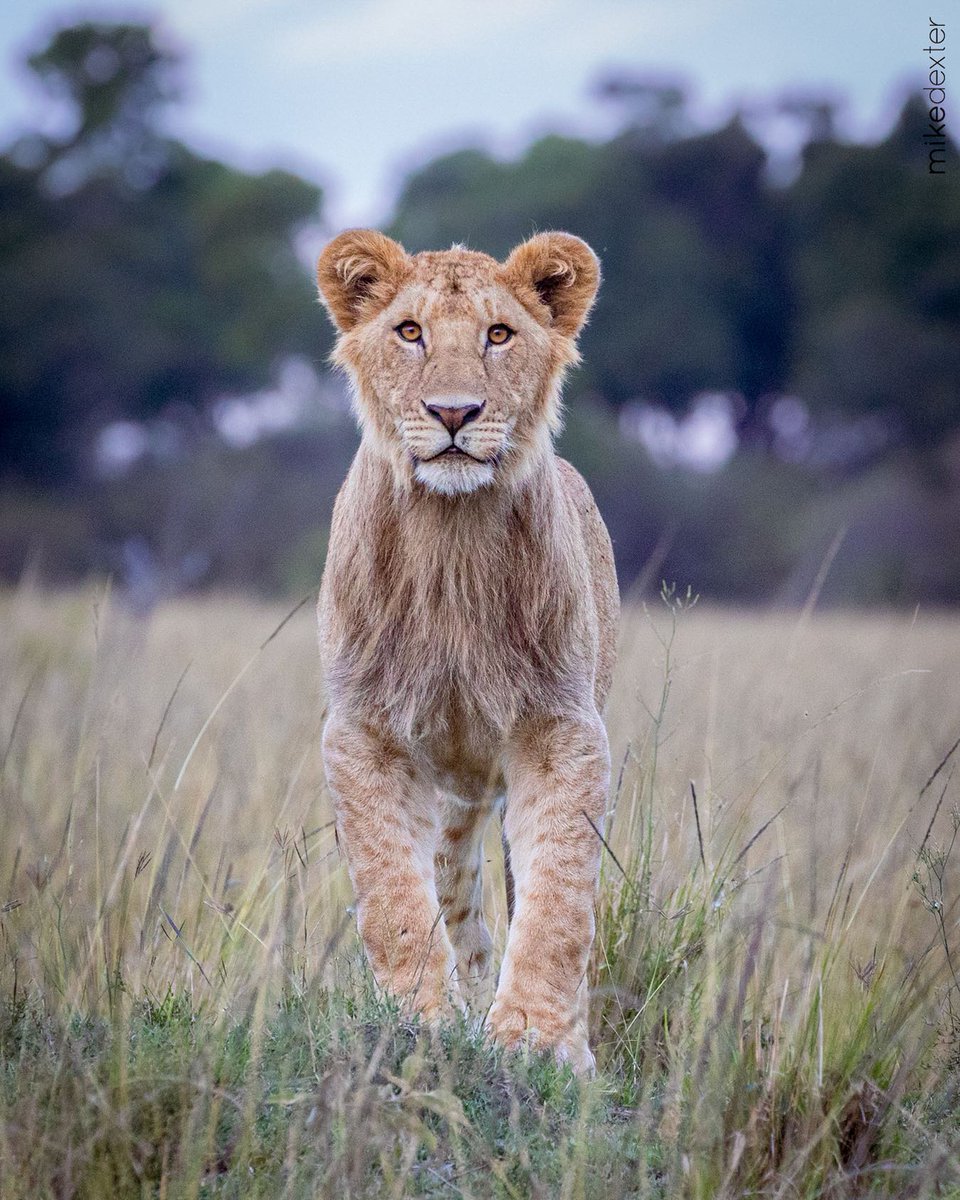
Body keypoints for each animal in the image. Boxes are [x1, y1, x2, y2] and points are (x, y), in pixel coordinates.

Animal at [312, 229, 614, 1075]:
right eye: (409, 332)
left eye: (498, 335)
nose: (453, 411)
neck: (452, 548)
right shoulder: (365, 730)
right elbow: (393, 894)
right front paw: (424, 1021)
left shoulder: (561, 727)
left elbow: (559, 898)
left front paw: (540, 1042)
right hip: (451, 789)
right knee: (452, 886)